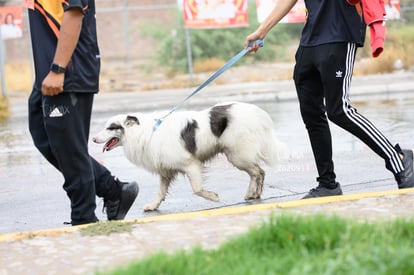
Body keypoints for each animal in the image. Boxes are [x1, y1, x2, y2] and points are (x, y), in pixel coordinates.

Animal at [93, 101, 284, 211]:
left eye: (110, 127)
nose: (93, 138)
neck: (144, 132)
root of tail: (258, 112)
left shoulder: (191, 164)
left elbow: (197, 189)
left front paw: (213, 197)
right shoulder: (165, 171)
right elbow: (161, 192)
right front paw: (153, 206)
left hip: (237, 155)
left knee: (258, 172)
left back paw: (253, 193)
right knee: (257, 172)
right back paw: (253, 194)